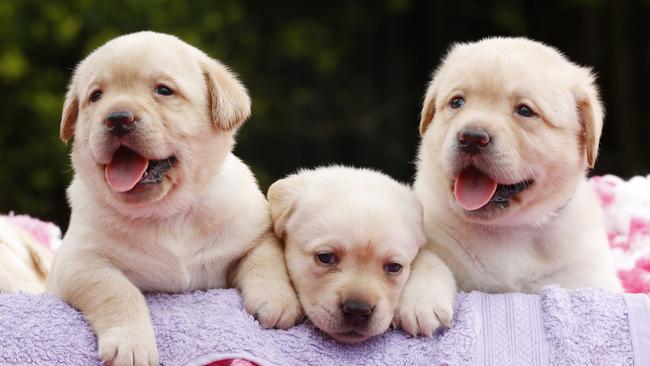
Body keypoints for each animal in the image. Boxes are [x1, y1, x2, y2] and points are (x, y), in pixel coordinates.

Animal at [48, 32, 302, 366]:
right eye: (96, 96)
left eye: (164, 91)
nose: (117, 117)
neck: (168, 214)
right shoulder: (79, 262)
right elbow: (117, 290)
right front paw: (131, 345)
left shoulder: (254, 232)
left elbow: (266, 258)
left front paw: (276, 301)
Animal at [402, 37, 620, 300]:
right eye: (457, 102)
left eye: (524, 110)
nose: (472, 137)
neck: (506, 233)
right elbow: (428, 262)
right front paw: (423, 299)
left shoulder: (582, 273)